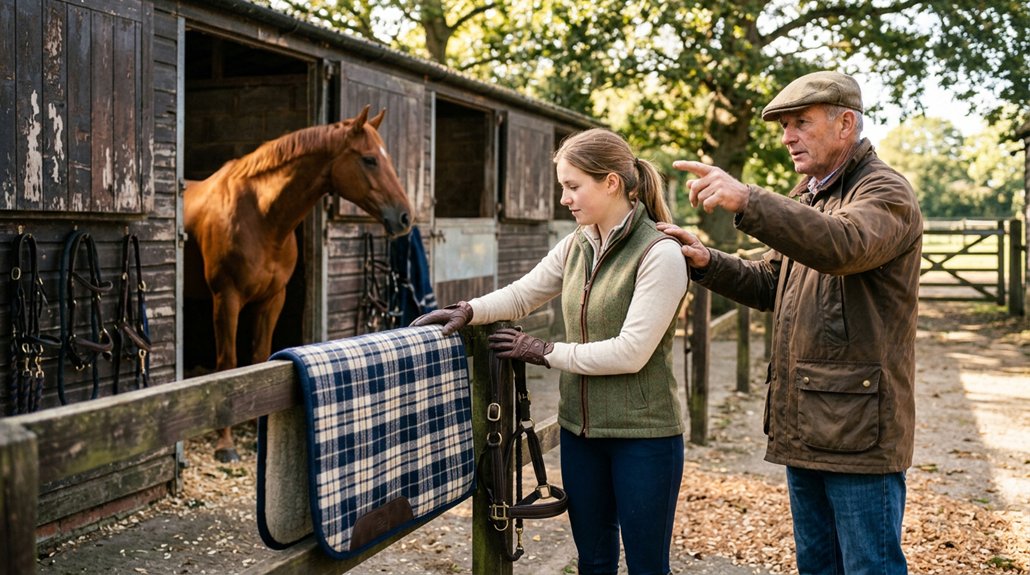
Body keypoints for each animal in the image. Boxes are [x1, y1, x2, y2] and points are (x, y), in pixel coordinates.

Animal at [184, 105, 413, 462]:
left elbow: (258, 361)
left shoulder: (272, 299)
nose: (405, 217)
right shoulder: (226, 298)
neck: (261, 217)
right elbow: (228, 365)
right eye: (369, 159)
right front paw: (226, 445)